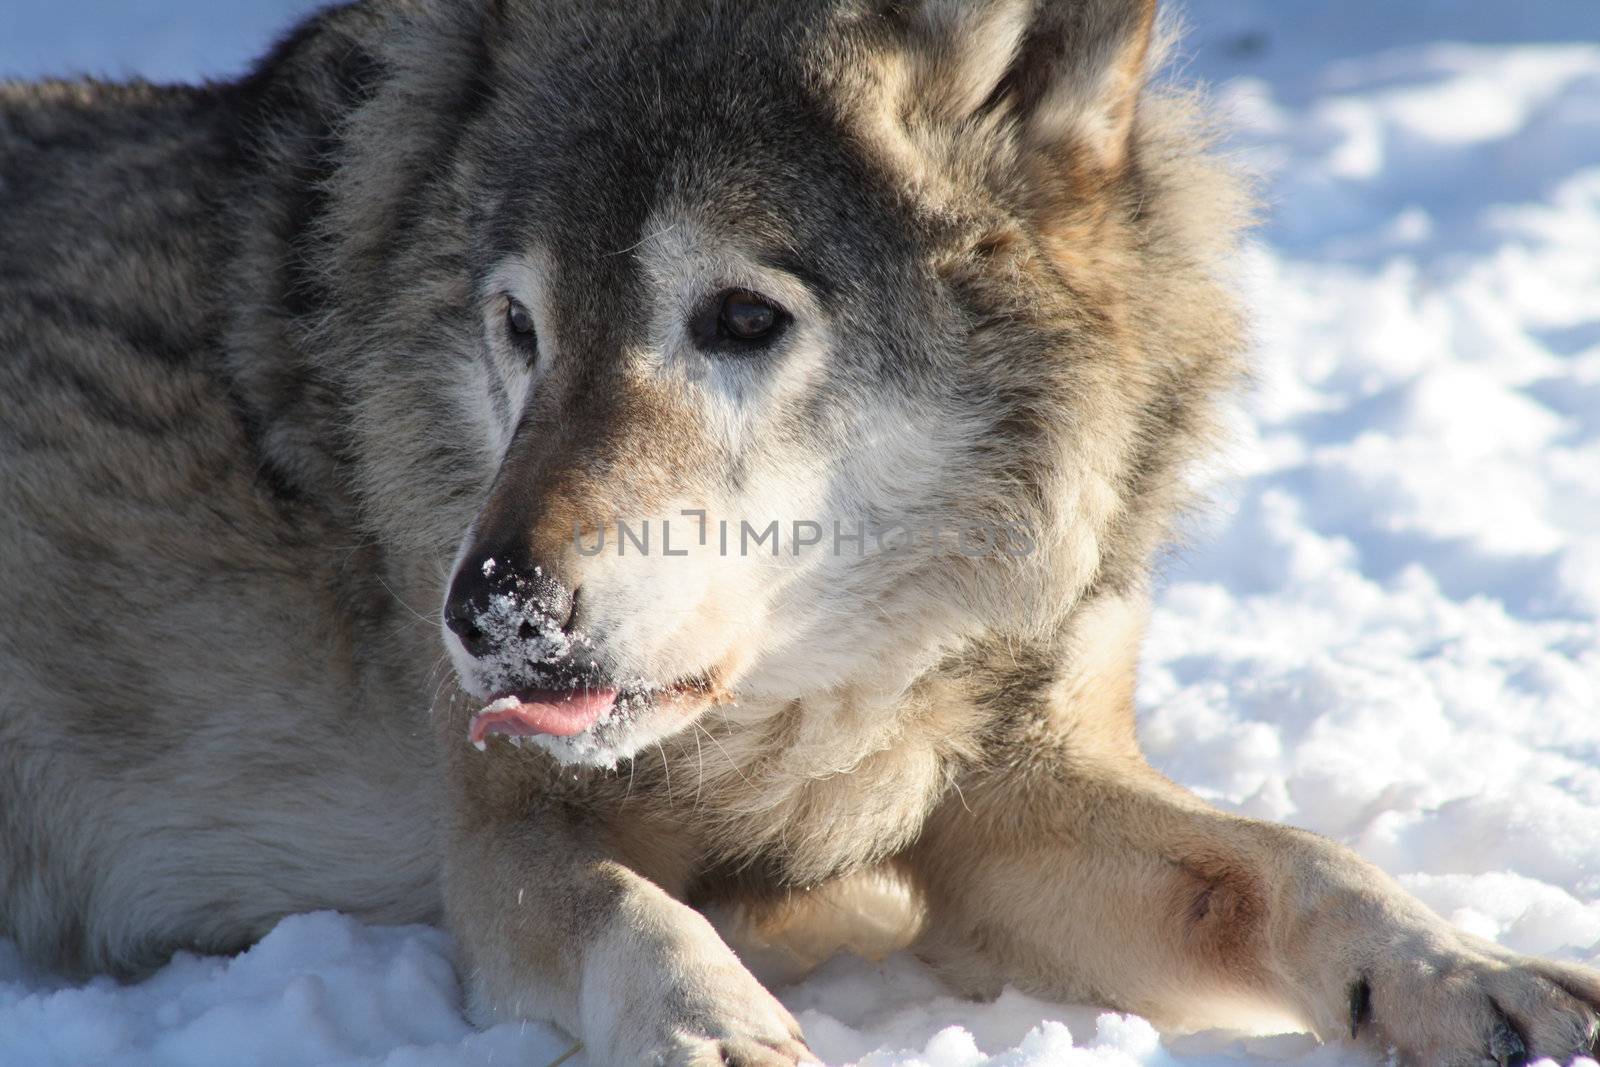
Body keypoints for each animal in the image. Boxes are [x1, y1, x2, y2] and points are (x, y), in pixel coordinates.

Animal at [0, 0, 1593, 1062]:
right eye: (518, 326)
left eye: (740, 319)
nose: (486, 610)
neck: (827, 679)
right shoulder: (512, 828)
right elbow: (639, 912)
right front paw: (726, 1033)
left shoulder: (1010, 800)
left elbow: (1292, 856)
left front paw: (1472, 972)